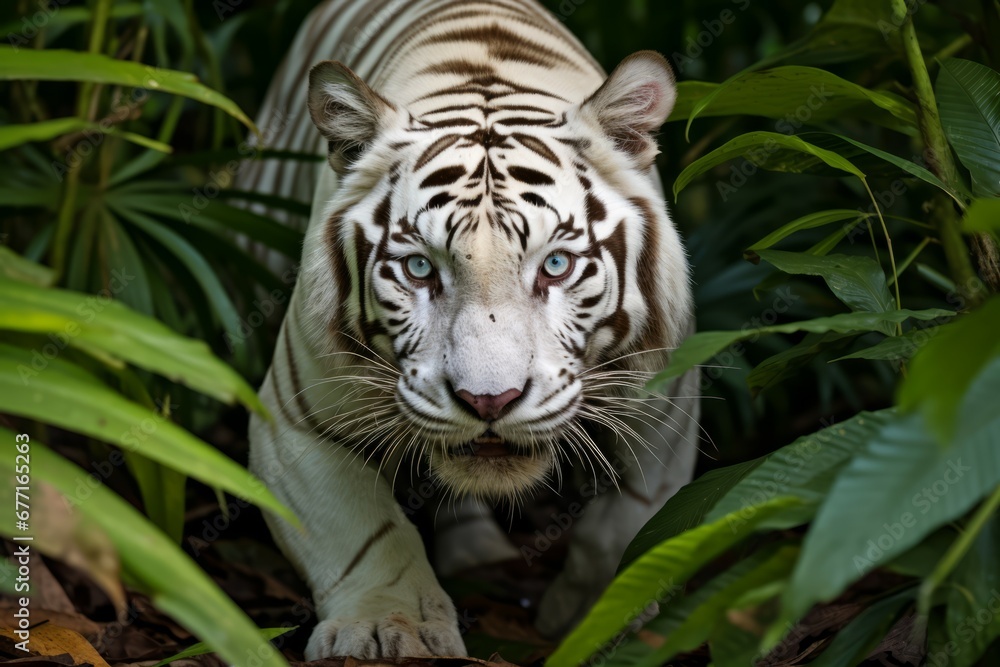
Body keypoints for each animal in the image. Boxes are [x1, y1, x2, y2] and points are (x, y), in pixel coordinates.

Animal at [239, 0, 700, 659]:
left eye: (556, 265)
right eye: (419, 268)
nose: (489, 401)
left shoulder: (667, 407)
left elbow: (627, 525)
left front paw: (593, 617)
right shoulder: (296, 419)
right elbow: (363, 533)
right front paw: (388, 626)